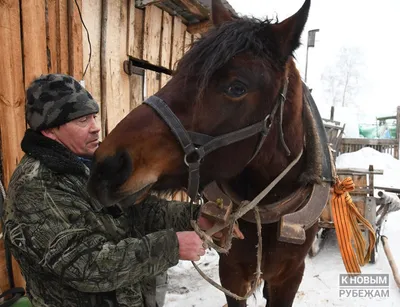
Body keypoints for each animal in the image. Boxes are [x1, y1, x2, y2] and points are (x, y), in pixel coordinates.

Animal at [88, 1, 334, 306]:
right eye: (179, 72)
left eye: (237, 87)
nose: (106, 168)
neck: (266, 205)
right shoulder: (230, 270)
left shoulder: (289, 277)